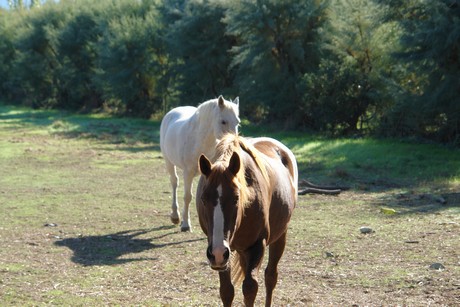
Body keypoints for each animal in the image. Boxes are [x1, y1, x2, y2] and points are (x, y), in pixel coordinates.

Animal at [160, 95, 241, 232]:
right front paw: (186, 224)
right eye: (223, 121)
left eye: (238, 122)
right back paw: (175, 216)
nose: (234, 145)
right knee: (174, 182)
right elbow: (188, 197)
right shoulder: (188, 173)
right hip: (169, 162)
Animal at [195, 135, 296, 307]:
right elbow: (226, 291)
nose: (217, 253)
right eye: (203, 198)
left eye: (236, 198)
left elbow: (250, 288)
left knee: (270, 277)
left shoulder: (257, 244)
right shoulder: (222, 253)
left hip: (280, 236)